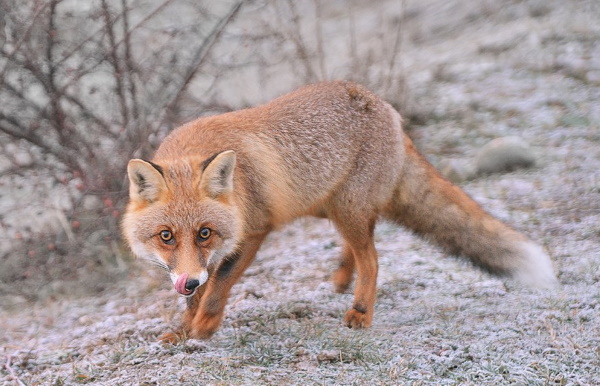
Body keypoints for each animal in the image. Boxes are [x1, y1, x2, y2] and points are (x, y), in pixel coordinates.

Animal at [122, 80, 556, 342]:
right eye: (166, 236)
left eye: (204, 232)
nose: (188, 281)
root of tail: (385, 107)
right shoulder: (199, 263)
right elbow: (197, 295)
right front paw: (183, 330)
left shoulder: (253, 232)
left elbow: (217, 289)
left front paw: (204, 328)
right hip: (328, 207)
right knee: (363, 242)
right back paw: (342, 278)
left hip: (345, 209)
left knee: (373, 257)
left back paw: (360, 310)